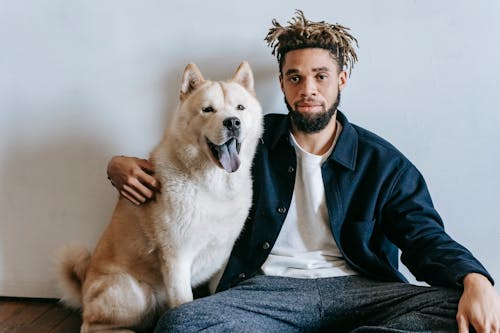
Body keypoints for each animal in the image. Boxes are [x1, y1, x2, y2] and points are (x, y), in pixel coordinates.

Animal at [56, 62, 264, 332]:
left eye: (240, 107)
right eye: (208, 109)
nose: (233, 123)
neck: (211, 185)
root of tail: (82, 290)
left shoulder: (224, 259)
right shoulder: (177, 260)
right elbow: (184, 304)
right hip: (135, 292)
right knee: (91, 325)